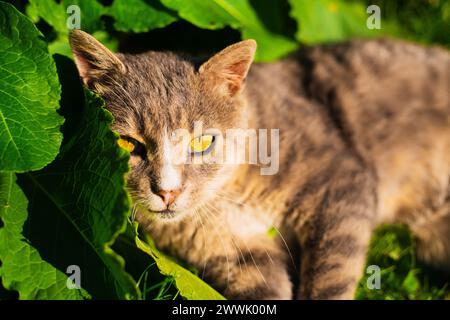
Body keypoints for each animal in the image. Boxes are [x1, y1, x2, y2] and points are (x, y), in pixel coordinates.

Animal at [69, 30, 450, 300]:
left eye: (202, 142)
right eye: (127, 143)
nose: (168, 191)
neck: (235, 193)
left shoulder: (339, 180)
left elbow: (333, 273)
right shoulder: (235, 253)